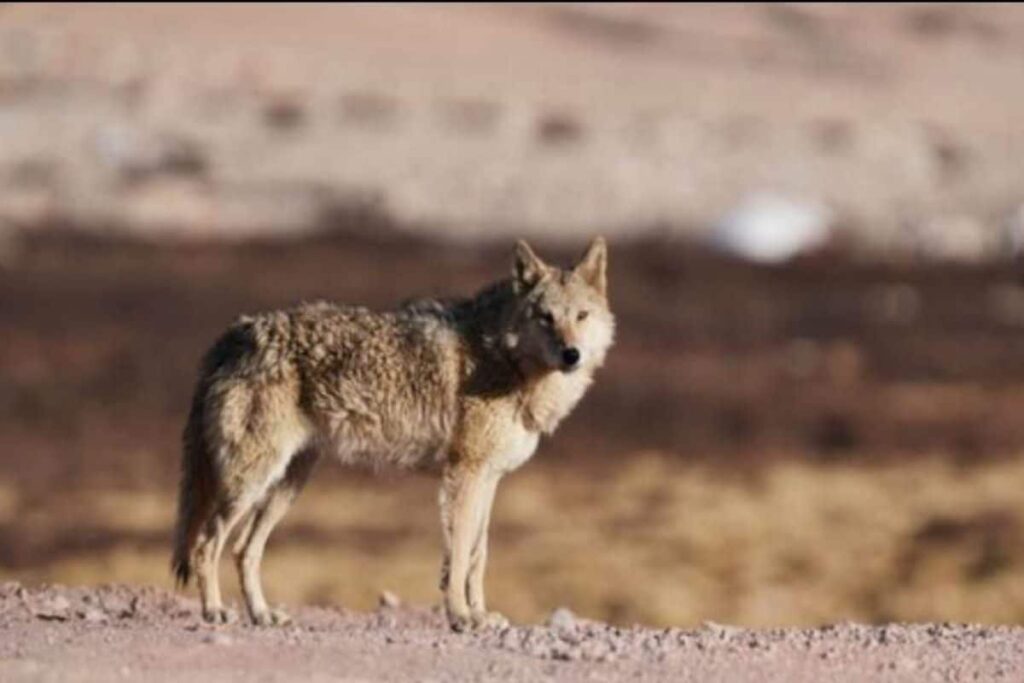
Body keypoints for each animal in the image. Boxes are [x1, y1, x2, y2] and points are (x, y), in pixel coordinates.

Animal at [171, 237, 614, 631]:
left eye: (581, 316)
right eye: (545, 317)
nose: (571, 355)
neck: (506, 360)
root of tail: (236, 332)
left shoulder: (489, 479)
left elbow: (477, 555)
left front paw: (481, 615)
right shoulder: (464, 476)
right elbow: (458, 556)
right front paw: (461, 617)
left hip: (287, 484)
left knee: (243, 550)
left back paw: (262, 615)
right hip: (251, 482)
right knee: (205, 543)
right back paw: (215, 612)